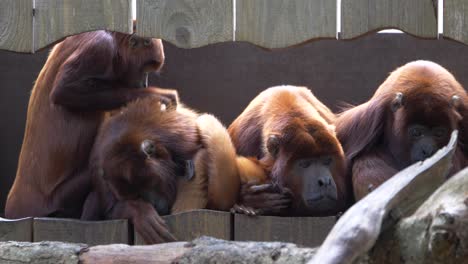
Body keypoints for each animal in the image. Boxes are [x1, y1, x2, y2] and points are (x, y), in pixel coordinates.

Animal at [5, 30, 177, 219]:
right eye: (144, 69)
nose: (145, 83)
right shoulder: (101, 48)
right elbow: (63, 91)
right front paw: (154, 96)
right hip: (59, 200)